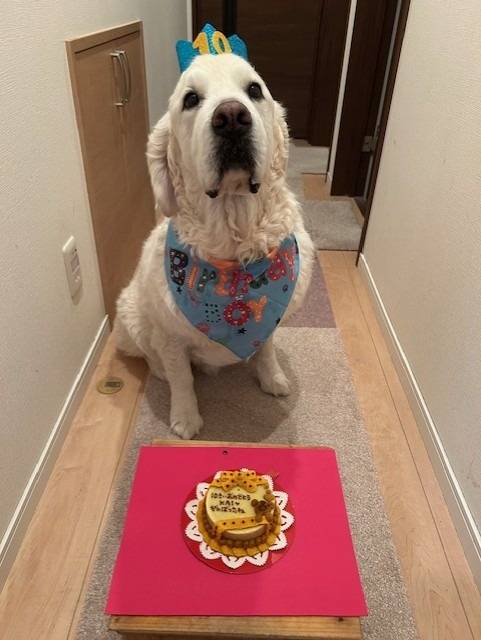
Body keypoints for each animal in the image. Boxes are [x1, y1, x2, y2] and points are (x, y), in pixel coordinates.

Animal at [115, 53, 314, 439]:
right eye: (191, 99)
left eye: (254, 90)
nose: (232, 118)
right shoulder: (170, 335)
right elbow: (181, 378)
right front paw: (185, 418)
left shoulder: (270, 320)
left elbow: (267, 348)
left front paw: (272, 378)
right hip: (131, 314)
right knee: (151, 355)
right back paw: (158, 371)